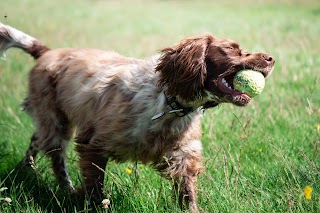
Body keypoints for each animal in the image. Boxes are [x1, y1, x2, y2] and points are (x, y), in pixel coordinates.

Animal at [0, 22, 276, 211]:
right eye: (231, 49)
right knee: (57, 159)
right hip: (55, 122)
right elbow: (95, 187)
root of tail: (48, 52)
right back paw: (64, 188)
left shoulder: (182, 155)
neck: (169, 102)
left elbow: (187, 193)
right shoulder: (93, 144)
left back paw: (25, 168)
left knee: (37, 140)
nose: (271, 58)